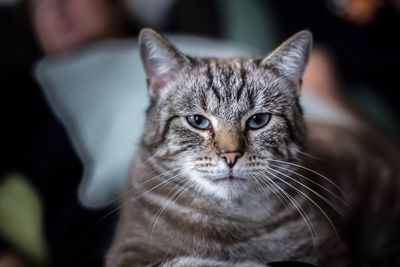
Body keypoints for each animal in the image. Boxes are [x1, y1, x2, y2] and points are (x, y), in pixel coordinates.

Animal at [105, 28, 400, 266]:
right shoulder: (129, 255)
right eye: (198, 121)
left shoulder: (333, 253)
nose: (230, 155)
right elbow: (196, 262)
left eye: (258, 120)